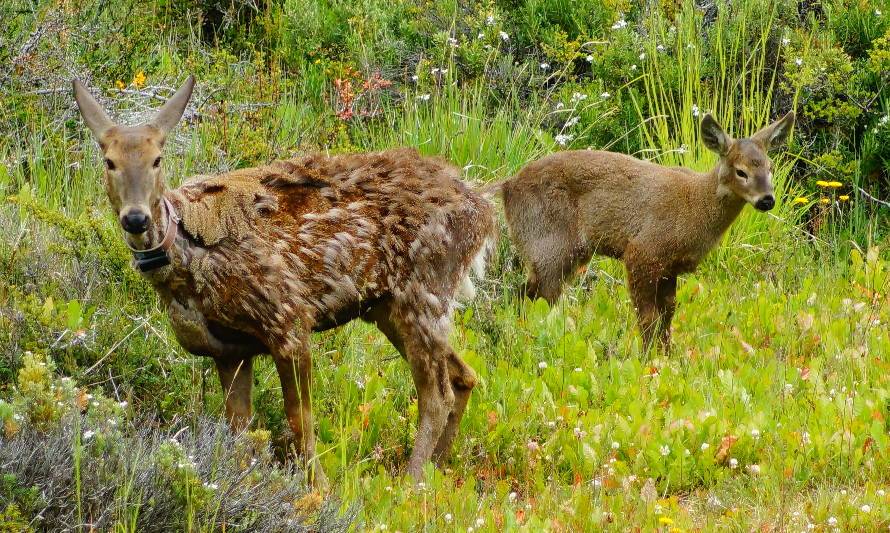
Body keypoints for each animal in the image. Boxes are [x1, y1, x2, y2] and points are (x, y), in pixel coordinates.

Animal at [73, 77, 496, 484]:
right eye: (109, 161)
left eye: (157, 159)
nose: (135, 218)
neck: (187, 267)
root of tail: (482, 208)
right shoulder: (228, 350)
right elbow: (239, 430)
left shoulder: (287, 318)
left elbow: (299, 421)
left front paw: (319, 491)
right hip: (386, 306)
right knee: (464, 375)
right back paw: (436, 469)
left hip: (425, 288)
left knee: (436, 394)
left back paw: (410, 483)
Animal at [490, 112, 796, 350]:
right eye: (741, 171)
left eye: (770, 167)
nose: (767, 200)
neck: (694, 207)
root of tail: (507, 186)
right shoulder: (642, 251)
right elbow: (647, 317)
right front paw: (648, 359)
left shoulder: (670, 267)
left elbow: (668, 314)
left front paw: (667, 356)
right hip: (549, 247)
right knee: (537, 299)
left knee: (523, 295)